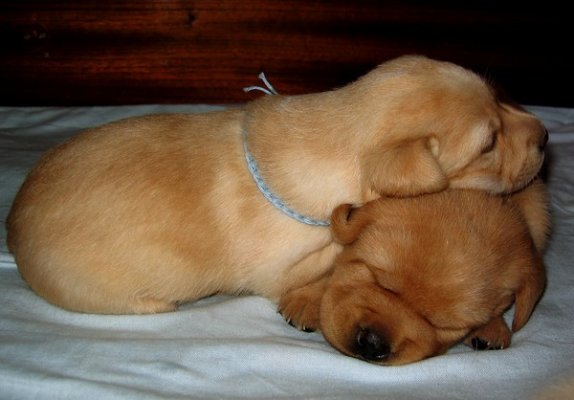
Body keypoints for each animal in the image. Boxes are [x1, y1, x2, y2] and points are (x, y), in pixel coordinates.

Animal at [6, 55, 548, 314]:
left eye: (500, 99)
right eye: (488, 144)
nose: (545, 137)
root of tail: (11, 228)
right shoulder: (275, 271)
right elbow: (334, 246)